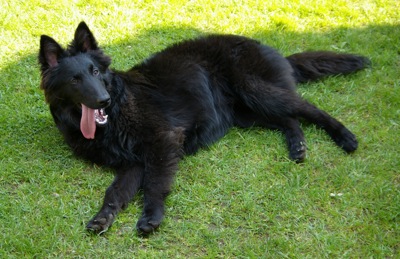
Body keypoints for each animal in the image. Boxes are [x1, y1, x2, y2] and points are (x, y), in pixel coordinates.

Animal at [38, 21, 368, 235]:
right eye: (75, 80)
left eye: (95, 71)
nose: (103, 100)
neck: (119, 109)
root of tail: (276, 53)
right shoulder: (132, 162)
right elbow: (115, 192)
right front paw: (103, 217)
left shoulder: (161, 143)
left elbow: (155, 184)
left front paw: (152, 216)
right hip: (247, 112)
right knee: (289, 119)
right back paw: (298, 146)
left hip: (255, 90)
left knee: (308, 108)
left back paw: (345, 137)